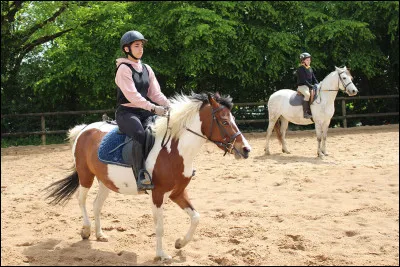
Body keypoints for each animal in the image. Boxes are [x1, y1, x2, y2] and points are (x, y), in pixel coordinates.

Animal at [43, 92, 250, 262]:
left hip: (106, 181)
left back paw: (100, 234)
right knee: (82, 200)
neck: (174, 150)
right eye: (224, 121)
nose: (246, 149)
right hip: (86, 175)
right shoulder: (157, 194)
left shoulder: (178, 193)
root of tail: (85, 129)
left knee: (96, 204)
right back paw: (86, 230)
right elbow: (160, 227)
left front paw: (180, 243)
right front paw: (162, 255)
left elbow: (196, 217)